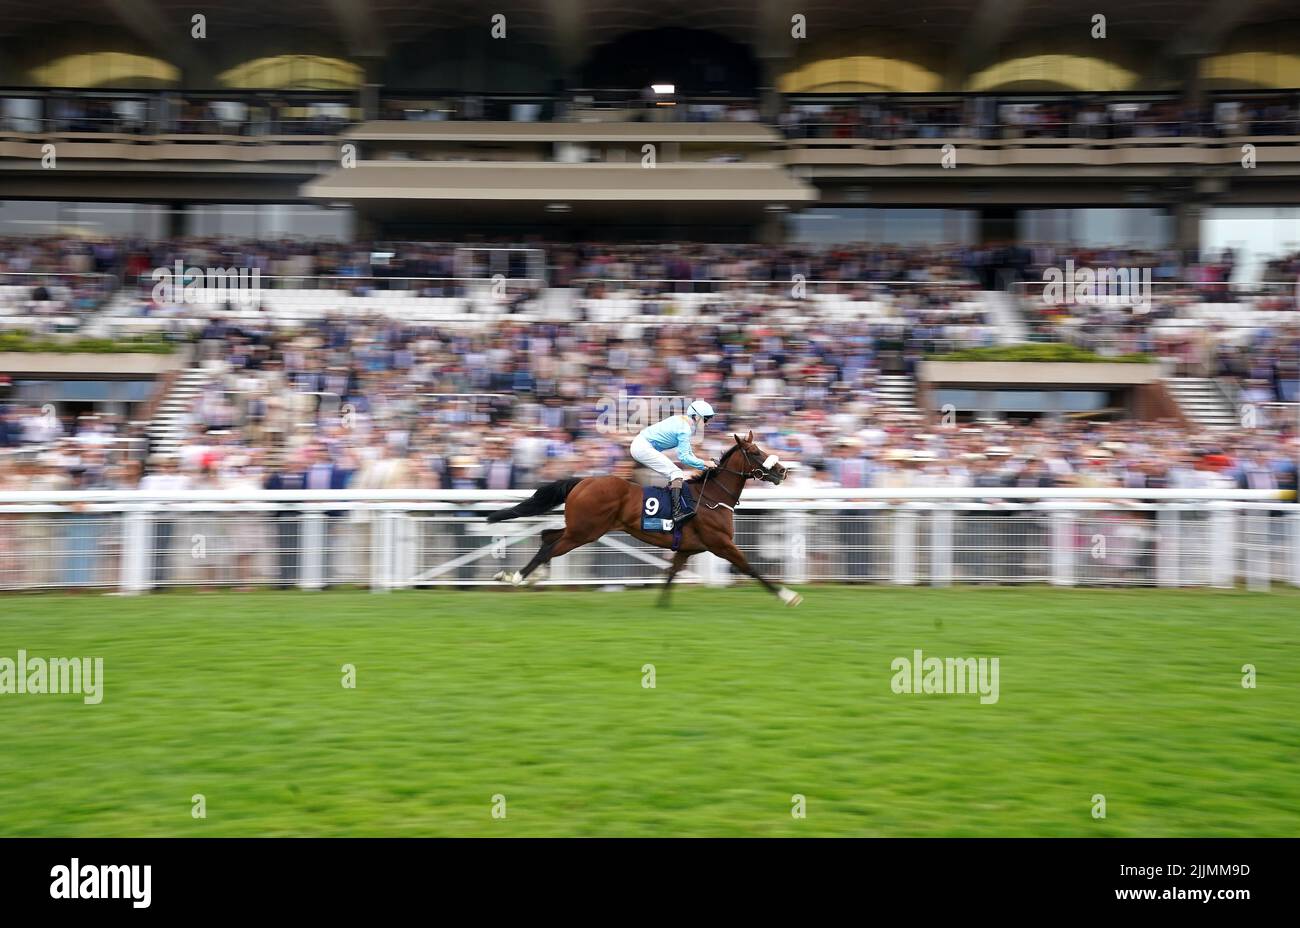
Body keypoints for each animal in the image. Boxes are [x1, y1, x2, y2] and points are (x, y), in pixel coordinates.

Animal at [488, 428, 800, 603]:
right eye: (755, 452)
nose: (783, 471)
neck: (712, 497)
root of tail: (583, 481)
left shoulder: (687, 548)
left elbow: (671, 574)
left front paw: (660, 607)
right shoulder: (721, 543)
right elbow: (750, 568)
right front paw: (788, 596)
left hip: (580, 528)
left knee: (547, 536)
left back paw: (526, 575)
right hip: (585, 531)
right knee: (550, 546)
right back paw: (516, 577)